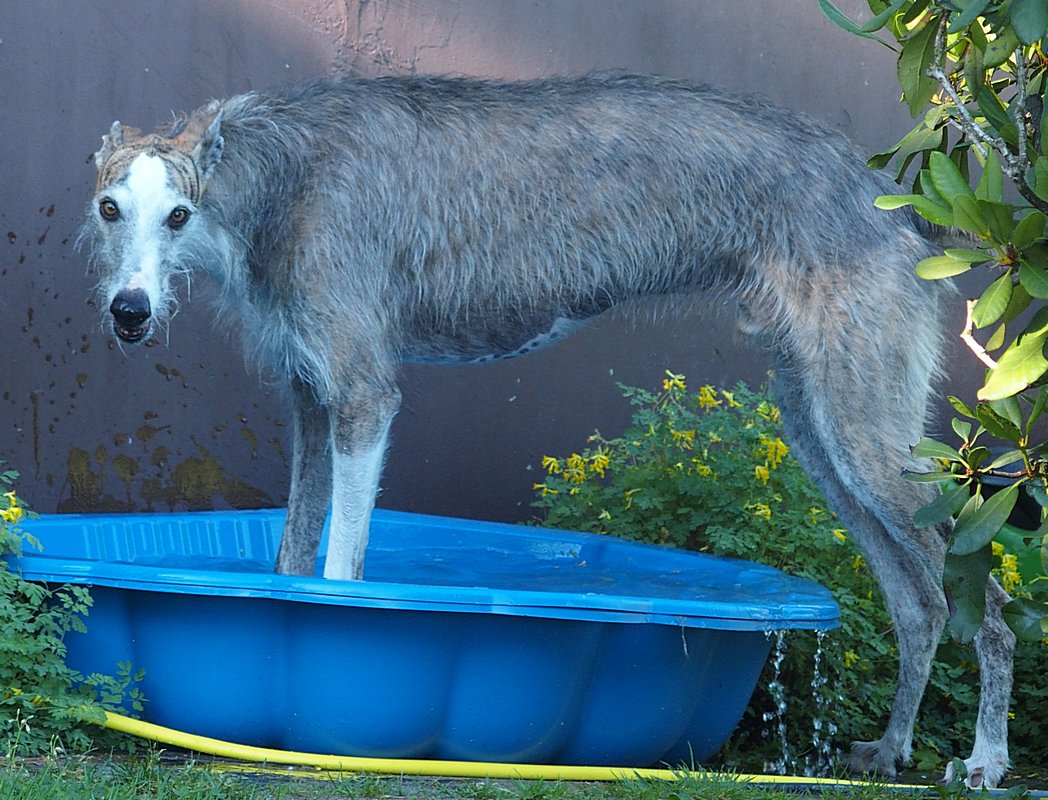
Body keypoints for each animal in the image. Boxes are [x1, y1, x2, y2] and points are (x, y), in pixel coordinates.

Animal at [81, 73, 1014, 786]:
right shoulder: (311, 403)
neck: (276, 175)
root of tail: (889, 199)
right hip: (825, 433)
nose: (129, 314)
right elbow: (289, 566)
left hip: (865, 434)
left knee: (992, 611)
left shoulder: (363, 397)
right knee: (921, 605)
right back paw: (892, 749)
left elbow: (340, 576)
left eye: (177, 215)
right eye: (108, 208)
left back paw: (986, 760)